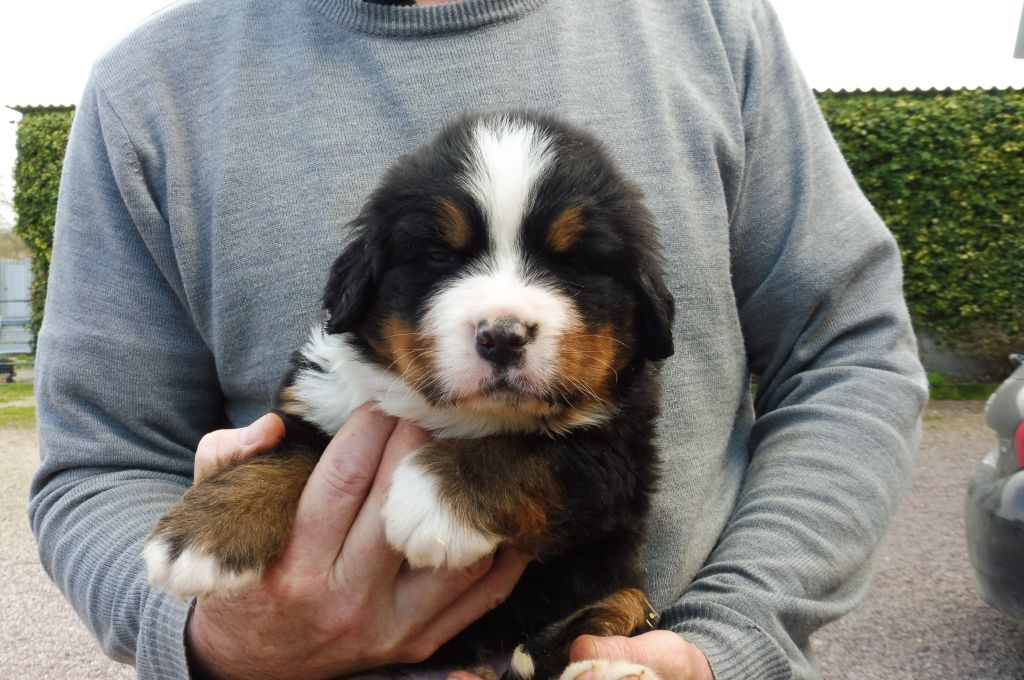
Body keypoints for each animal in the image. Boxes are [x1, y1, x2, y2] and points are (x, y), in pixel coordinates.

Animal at [144, 110, 671, 680]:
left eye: (572, 264)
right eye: (439, 256)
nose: (503, 335)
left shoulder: (618, 453)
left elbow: (532, 454)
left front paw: (433, 498)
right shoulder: (322, 399)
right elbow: (288, 451)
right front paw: (205, 534)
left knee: (624, 602)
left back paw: (604, 666)